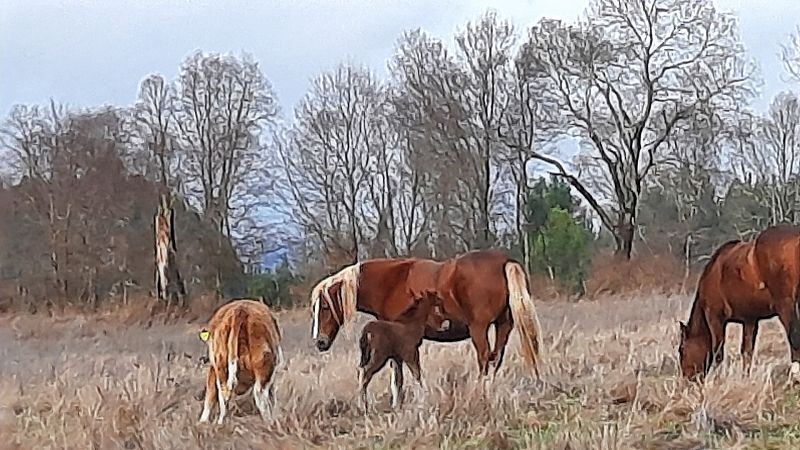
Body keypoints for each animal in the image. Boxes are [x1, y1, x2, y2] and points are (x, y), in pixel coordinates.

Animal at [310, 250, 540, 386]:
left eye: (325, 306)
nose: (320, 342)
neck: (390, 282)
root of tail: (504, 261)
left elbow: (398, 377)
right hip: (503, 325)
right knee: (496, 358)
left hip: (479, 328)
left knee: (484, 359)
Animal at [680, 225, 800, 380]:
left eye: (681, 349)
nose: (686, 379)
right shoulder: (750, 320)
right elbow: (747, 352)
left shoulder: (714, 317)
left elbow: (718, 352)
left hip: (786, 306)